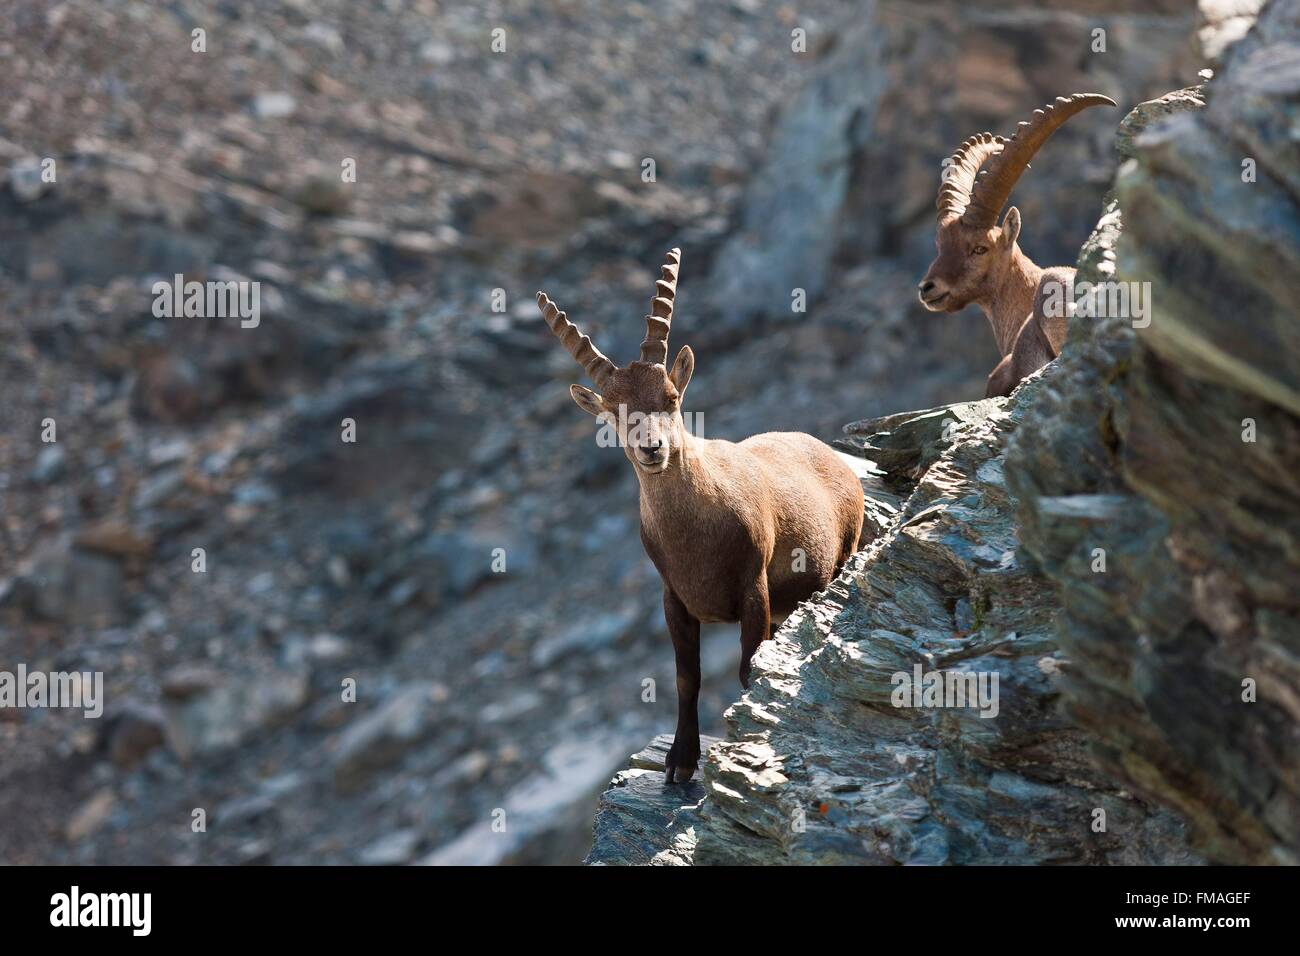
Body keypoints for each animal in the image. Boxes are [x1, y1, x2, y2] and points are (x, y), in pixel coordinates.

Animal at [537, 249, 865, 782]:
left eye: (671, 398)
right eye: (612, 412)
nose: (652, 448)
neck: (695, 532)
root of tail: (829, 454)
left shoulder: (754, 589)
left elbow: (748, 670)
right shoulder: (674, 600)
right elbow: (686, 678)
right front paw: (679, 762)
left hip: (840, 555)